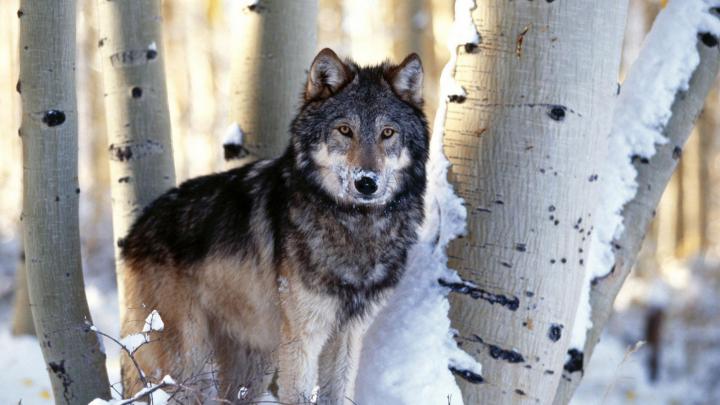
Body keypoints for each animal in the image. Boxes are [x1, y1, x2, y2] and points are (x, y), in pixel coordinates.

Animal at [120, 48, 429, 404]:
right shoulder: (302, 339)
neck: (356, 226)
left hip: (254, 364)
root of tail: (132, 233)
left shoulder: (348, 336)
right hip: (185, 364)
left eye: (387, 133)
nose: (367, 182)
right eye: (344, 130)